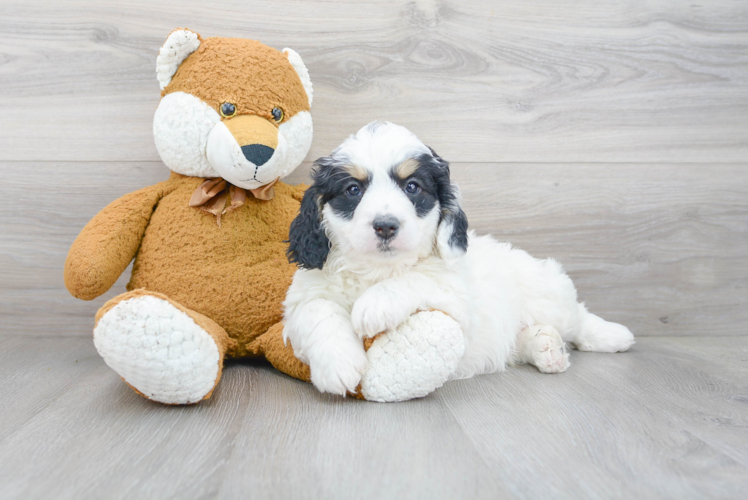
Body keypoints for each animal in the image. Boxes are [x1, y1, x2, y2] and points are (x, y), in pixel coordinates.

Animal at [284, 120, 636, 394]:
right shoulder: (303, 296)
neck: (377, 270)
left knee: (577, 318)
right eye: (353, 190)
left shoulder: (454, 292)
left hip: (548, 296)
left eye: (412, 187)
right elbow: (317, 310)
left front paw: (374, 305)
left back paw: (613, 335)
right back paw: (546, 348)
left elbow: (417, 278)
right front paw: (339, 365)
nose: (385, 225)